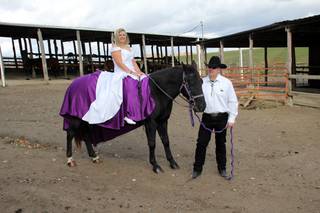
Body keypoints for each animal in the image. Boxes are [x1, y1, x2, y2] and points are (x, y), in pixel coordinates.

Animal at [64, 61, 205, 173]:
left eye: (202, 81)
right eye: (190, 82)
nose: (201, 106)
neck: (156, 92)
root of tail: (74, 83)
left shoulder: (163, 121)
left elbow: (166, 141)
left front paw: (172, 163)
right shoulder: (151, 122)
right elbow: (152, 143)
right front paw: (155, 165)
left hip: (87, 118)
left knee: (87, 134)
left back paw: (94, 157)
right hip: (76, 119)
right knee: (70, 134)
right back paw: (70, 160)